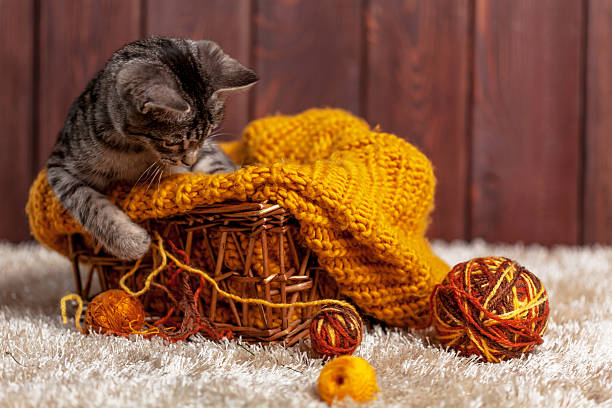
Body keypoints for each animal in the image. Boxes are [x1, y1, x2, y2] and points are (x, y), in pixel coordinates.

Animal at [46, 39, 256, 262]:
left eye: (207, 134)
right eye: (172, 143)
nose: (189, 162)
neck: (135, 149)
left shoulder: (206, 150)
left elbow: (217, 165)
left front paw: (230, 184)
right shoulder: (59, 166)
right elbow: (87, 201)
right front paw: (129, 241)